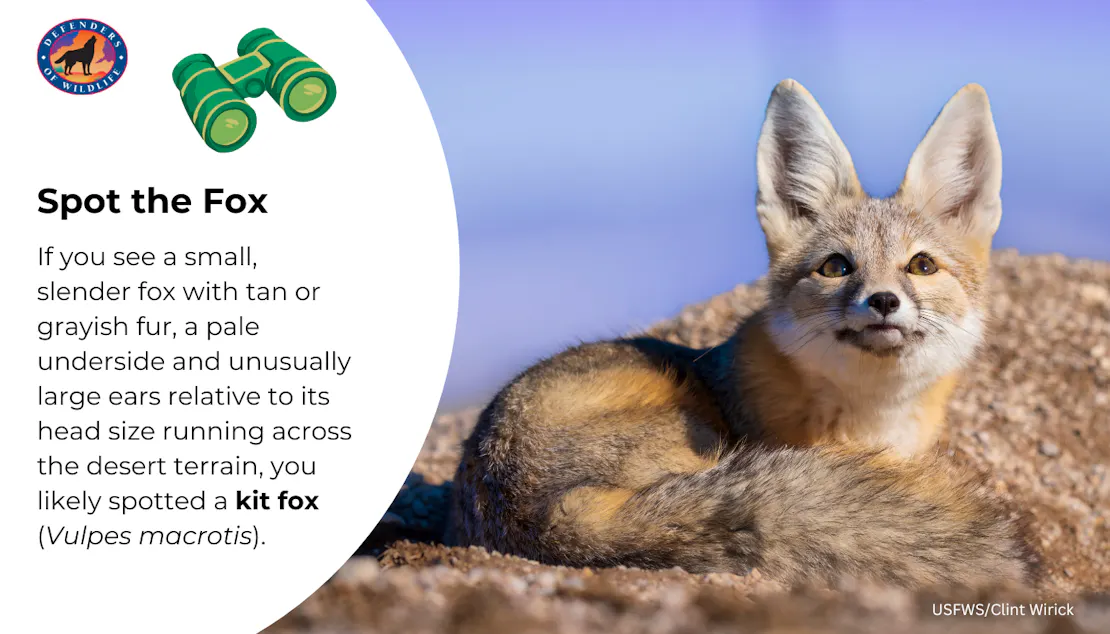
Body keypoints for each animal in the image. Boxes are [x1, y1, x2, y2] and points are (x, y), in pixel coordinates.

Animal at [450, 80, 1038, 588]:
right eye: (836, 267)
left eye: (921, 265)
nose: (884, 301)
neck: (873, 422)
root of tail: (540, 515)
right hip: (698, 429)